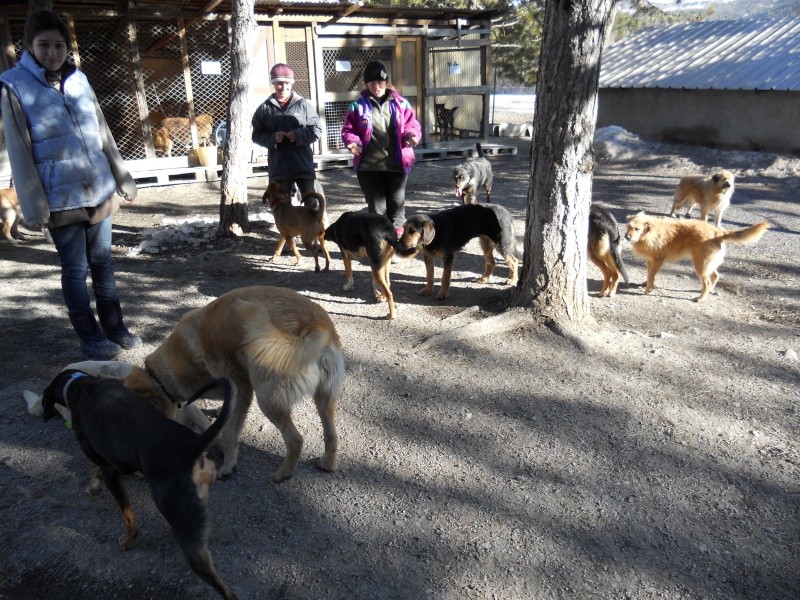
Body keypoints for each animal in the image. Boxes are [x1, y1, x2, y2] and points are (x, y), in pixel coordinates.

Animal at [41, 372, 234, 596]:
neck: (80, 384)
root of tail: (191, 447)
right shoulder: (108, 460)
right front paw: (94, 487)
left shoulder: (110, 470)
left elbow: (127, 515)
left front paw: (129, 540)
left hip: (189, 539)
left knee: (228, 592)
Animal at [122, 286, 344, 482]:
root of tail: (317, 324)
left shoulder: (241, 389)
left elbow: (229, 434)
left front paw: (228, 465)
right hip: (324, 399)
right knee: (331, 435)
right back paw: (328, 464)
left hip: (268, 401)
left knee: (296, 440)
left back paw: (283, 475)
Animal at [624, 212, 768, 304]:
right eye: (628, 227)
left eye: (637, 229)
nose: (626, 237)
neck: (649, 233)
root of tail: (718, 232)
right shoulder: (650, 260)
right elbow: (649, 274)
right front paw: (647, 284)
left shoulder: (657, 260)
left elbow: (651, 274)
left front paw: (649, 288)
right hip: (706, 264)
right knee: (715, 276)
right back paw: (706, 291)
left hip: (700, 265)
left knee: (708, 281)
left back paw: (700, 298)